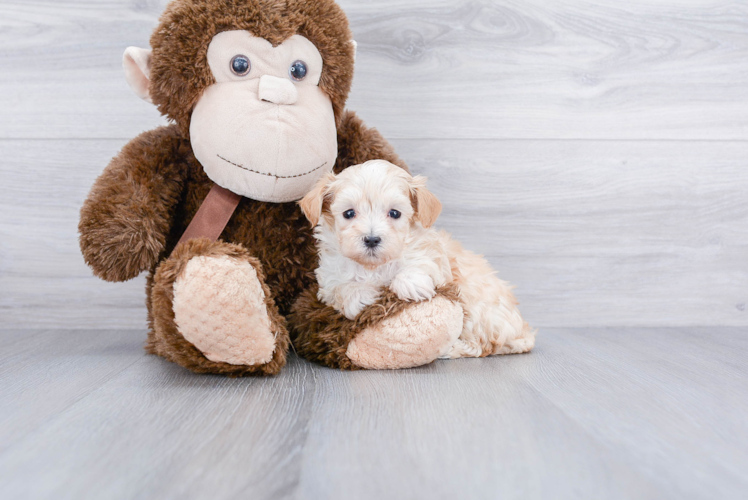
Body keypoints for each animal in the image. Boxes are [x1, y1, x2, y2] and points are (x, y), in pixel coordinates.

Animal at [300, 158, 536, 358]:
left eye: (395, 213)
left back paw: (452, 349)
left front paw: (409, 284)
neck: (375, 266)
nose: (372, 239)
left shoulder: (437, 260)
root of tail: (523, 331)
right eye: (349, 213)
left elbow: (421, 263)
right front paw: (358, 295)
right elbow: (340, 288)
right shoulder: (328, 279)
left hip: (477, 306)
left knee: (483, 346)